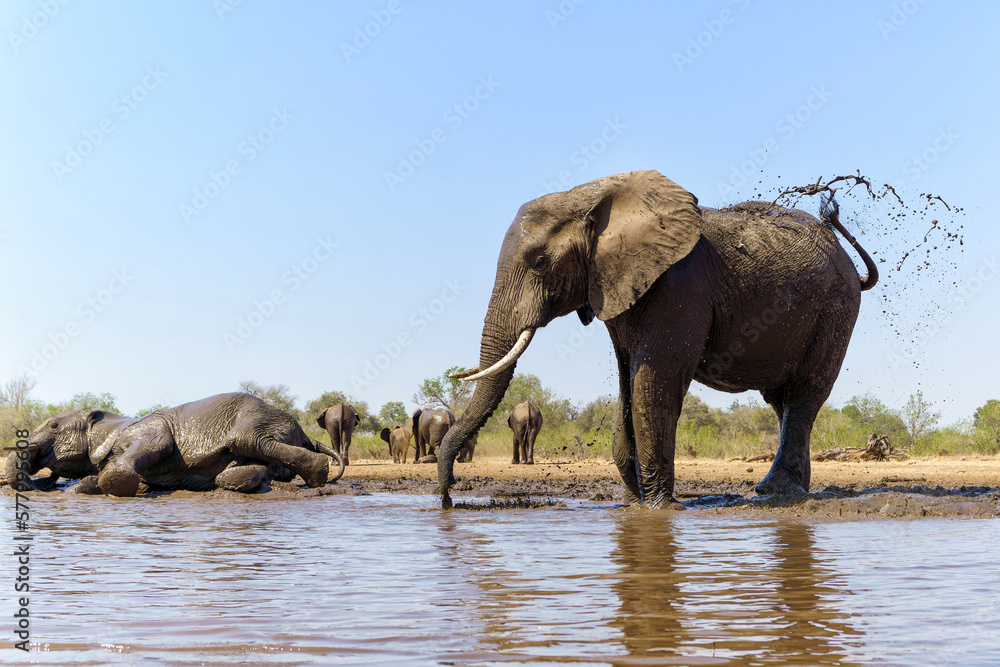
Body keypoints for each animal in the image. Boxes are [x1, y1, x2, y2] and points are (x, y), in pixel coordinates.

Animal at [6, 392, 345, 496]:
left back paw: (317, 475)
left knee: (246, 440)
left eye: (53, 426)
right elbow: (88, 481)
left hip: (258, 422)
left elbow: (157, 446)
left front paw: (118, 484)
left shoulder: (149, 430)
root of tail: (304, 432)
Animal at [437, 170, 878, 509]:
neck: (593, 195)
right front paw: (634, 503)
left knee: (805, 393)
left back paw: (775, 491)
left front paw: (660, 508)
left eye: (540, 262)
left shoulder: (679, 287)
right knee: (781, 401)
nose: (450, 497)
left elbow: (653, 384)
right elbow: (626, 383)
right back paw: (795, 489)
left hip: (836, 310)